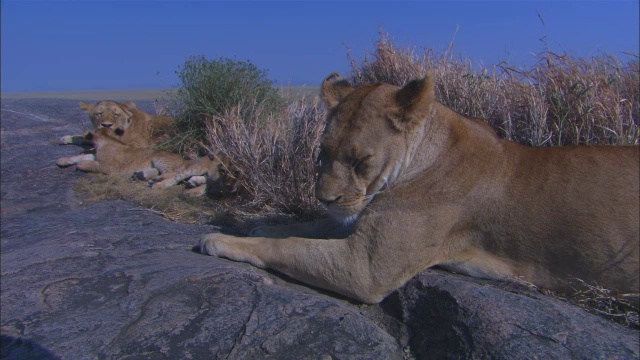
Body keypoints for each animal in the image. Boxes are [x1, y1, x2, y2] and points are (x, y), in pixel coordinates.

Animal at [198, 71, 636, 302]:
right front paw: (262, 224)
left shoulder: (366, 268)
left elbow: (290, 246)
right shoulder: (359, 221)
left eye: (361, 161)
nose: (324, 198)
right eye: (321, 152)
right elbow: (306, 227)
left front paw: (220, 240)